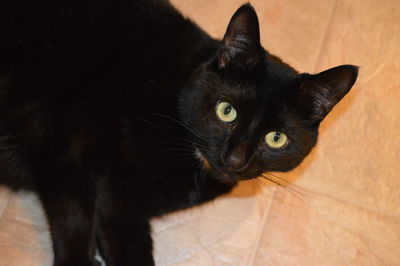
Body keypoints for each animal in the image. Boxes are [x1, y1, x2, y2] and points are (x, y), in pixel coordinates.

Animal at [0, 0, 358, 266]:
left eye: (276, 138)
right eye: (226, 110)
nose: (235, 159)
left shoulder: (120, 207)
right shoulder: (69, 147)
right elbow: (74, 218)